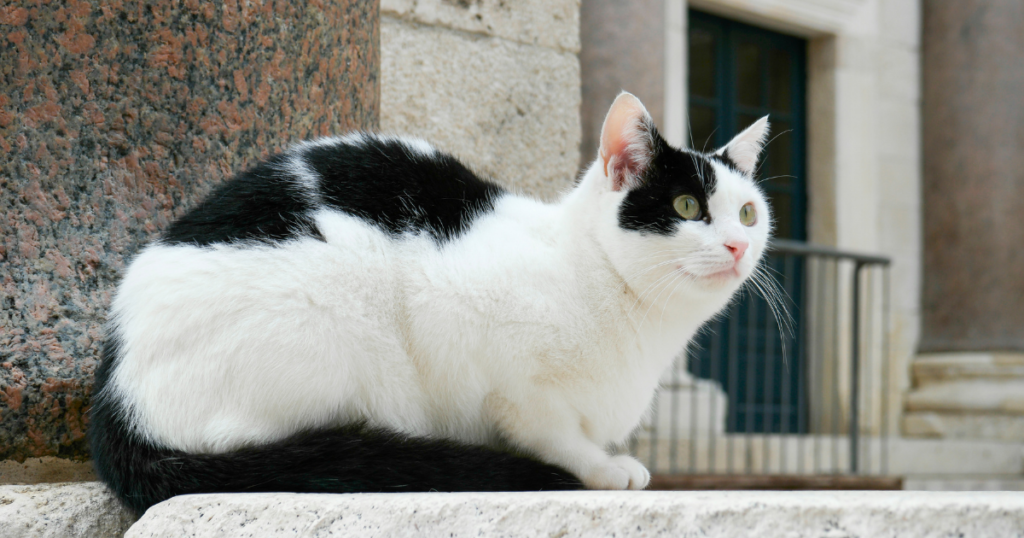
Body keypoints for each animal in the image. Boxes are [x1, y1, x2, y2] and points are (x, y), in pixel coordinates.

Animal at [88, 92, 772, 514]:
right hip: (326, 315)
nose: (739, 245)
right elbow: (548, 428)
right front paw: (600, 468)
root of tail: (114, 398)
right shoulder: (482, 342)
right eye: (687, 206)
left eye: (747, 212)